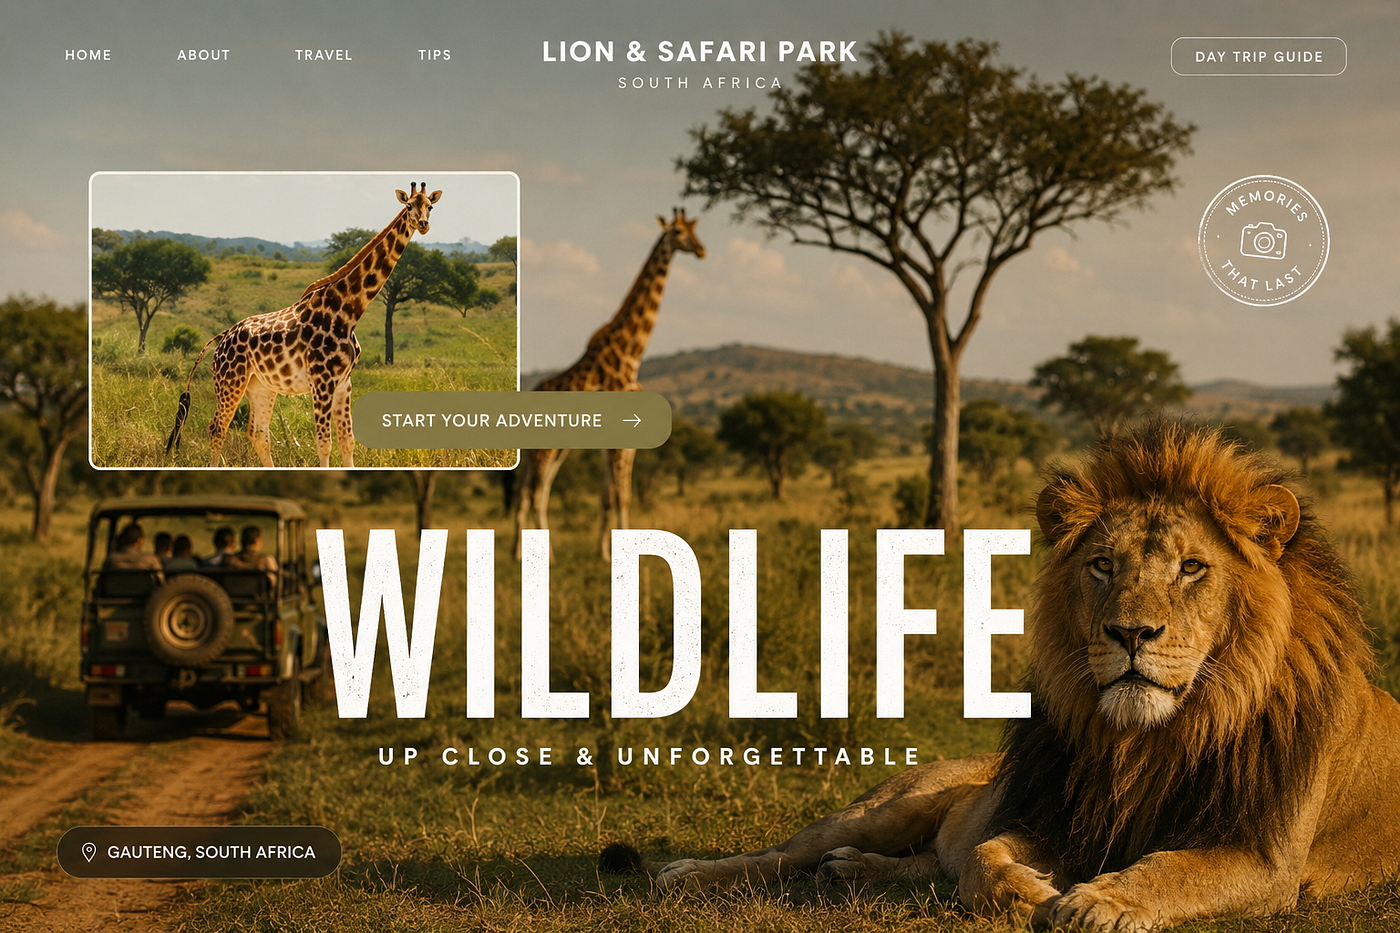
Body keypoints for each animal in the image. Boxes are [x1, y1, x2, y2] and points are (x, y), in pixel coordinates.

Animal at [600, 421, 1400, 931]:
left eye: (1193, 568)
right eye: (1101, 565)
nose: (1130, 634)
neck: (1153, 739)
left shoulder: (1267, 856)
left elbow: (1176, 867)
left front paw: (1097, 902)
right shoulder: (1049, 814)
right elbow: (985, 855)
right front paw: (1027, 893)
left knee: (921, 864)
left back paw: (848, 873)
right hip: (893, 802)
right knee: (792, 852)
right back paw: (693, 874)